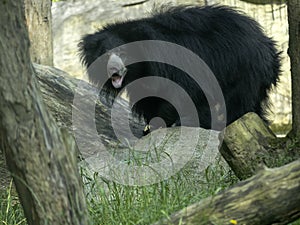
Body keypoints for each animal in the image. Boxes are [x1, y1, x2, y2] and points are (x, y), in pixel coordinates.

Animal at [78, 4, 280, 134]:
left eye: (123, 53)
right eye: (104, 55)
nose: (113, 69)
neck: (141, 69)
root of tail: (266, 43)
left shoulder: (175, 66)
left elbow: (181, 92)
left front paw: (169, 123)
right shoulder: (143, 81)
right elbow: (150, 98)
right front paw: (152, 126)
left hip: (243, 67)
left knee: (238, 100)